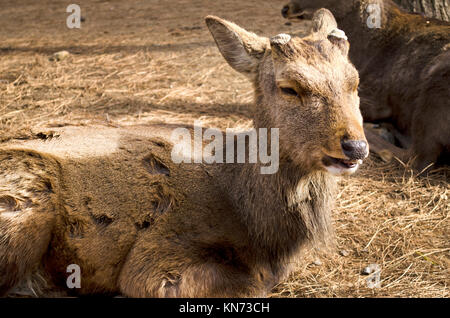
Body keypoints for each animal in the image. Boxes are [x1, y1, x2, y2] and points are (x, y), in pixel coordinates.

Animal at [0, 10, 366, 298]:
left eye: (355, 82)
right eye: (289, 87)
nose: (356, 147)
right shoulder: (157, 257)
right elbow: (251, 286)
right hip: (24, 204)